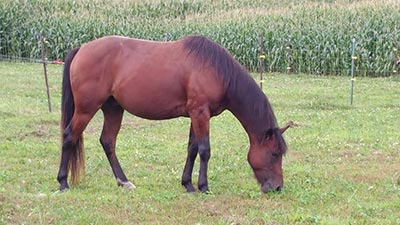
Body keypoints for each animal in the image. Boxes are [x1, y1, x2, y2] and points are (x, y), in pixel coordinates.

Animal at [57, 35, 294, 193]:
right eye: (274, 154)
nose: (277, 187)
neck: (217, 70)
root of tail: (81, 48)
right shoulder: (200, 113)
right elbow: (205, 150)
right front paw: (204, 187)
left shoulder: (197, 115)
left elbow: (192, 149)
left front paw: (188, 184)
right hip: (86, 109)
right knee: (70, 136)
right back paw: (63, 182)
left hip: (113, 108)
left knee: (107, 141)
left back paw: (124, 181)